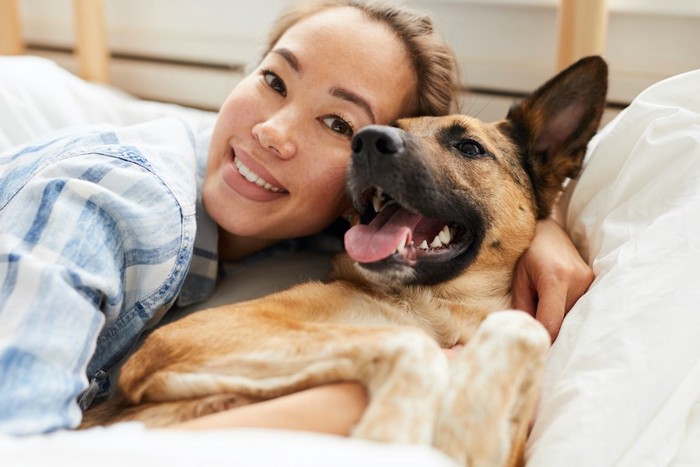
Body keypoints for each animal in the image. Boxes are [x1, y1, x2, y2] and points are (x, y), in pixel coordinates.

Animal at [80, 56, 608, 466]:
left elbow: (521, 327)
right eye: (388, 128)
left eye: (469, 147)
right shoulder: (179, 340)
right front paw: (396, 435)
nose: (368, 141)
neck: (436, 307)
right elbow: (412, 345)